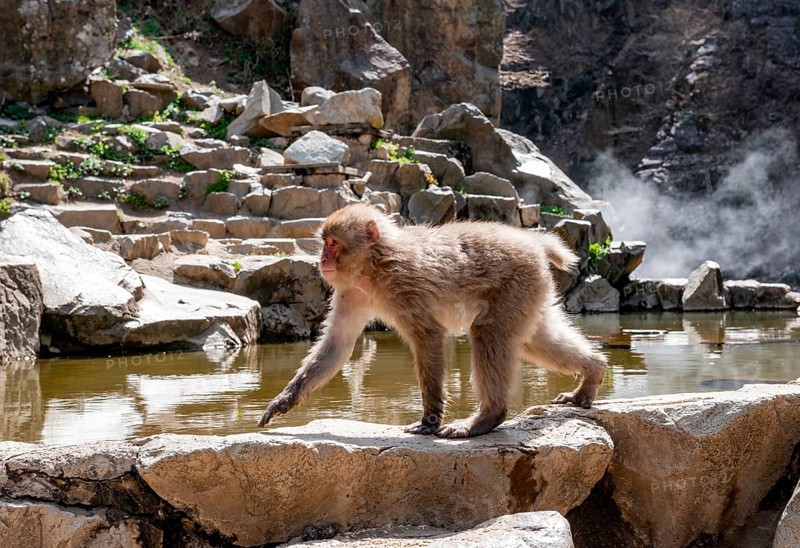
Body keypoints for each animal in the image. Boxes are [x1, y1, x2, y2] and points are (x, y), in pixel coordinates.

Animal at [258, 204, 607, 438]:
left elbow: (428, 335)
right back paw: (592, 373)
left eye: (333, 243)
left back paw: (486, 418)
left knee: (489, 333)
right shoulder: (352, 292)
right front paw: (284, 400)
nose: (322, 260)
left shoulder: (403, 286)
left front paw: (430, 419)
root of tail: (533, 242)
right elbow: (338, 344)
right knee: (536, 339)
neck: (374, 265)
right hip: (530, 293)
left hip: (516, 285)